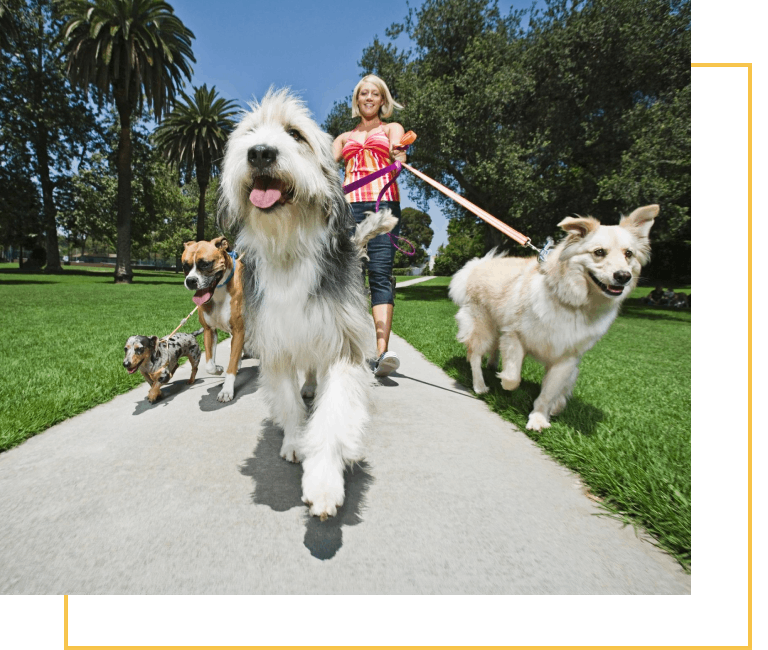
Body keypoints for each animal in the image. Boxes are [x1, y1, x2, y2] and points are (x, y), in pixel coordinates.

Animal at [182, 237, 246, 400]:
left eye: (205, 264)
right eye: (185, 266)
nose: (190, 280)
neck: (219, 291)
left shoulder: (239, 331)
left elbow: (231, 366)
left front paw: (227, 390)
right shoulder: (209, 330)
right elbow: (209, 365)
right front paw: (218, 369)